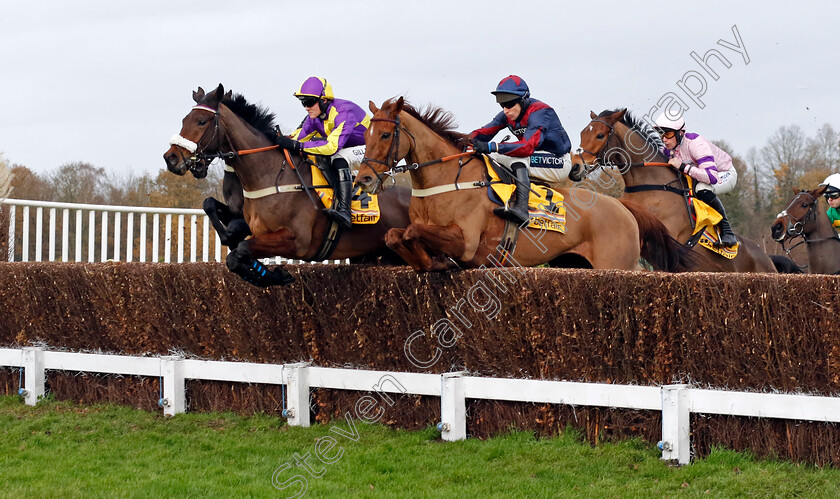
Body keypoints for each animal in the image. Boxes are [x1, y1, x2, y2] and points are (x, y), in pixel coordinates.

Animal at [162, 84, 412, 288]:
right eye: (184, 120)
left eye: (201, 122)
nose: (171, 158)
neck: (270, 175)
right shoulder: (251, 226)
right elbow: (221, 225)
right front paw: (269, 272)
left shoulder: (296, 240)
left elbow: (241, 248)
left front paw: (273, 273)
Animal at [352, 97, 692, 274]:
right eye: (365, 135)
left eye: (386, 135)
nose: (364, 179)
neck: (446, 179)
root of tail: (622, 206)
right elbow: (395, 236)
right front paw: (429, 260)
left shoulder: (466, 242)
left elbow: (411, 232)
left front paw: (435, 260)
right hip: (572, 263)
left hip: (617, 265)